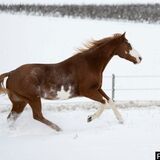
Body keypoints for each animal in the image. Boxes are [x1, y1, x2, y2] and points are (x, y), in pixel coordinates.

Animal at [0, 32, 142, 131]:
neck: (90, 64)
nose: (140, 58)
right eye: (128, 45)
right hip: (32, 99)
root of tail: (11, 73)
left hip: (20, 101)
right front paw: (90, 118)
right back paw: (59, 129)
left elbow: (110, 101)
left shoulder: (97, 88)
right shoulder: (87, 91)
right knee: (37, 115)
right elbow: (104, 102)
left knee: (11, 118)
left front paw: (121, 120)